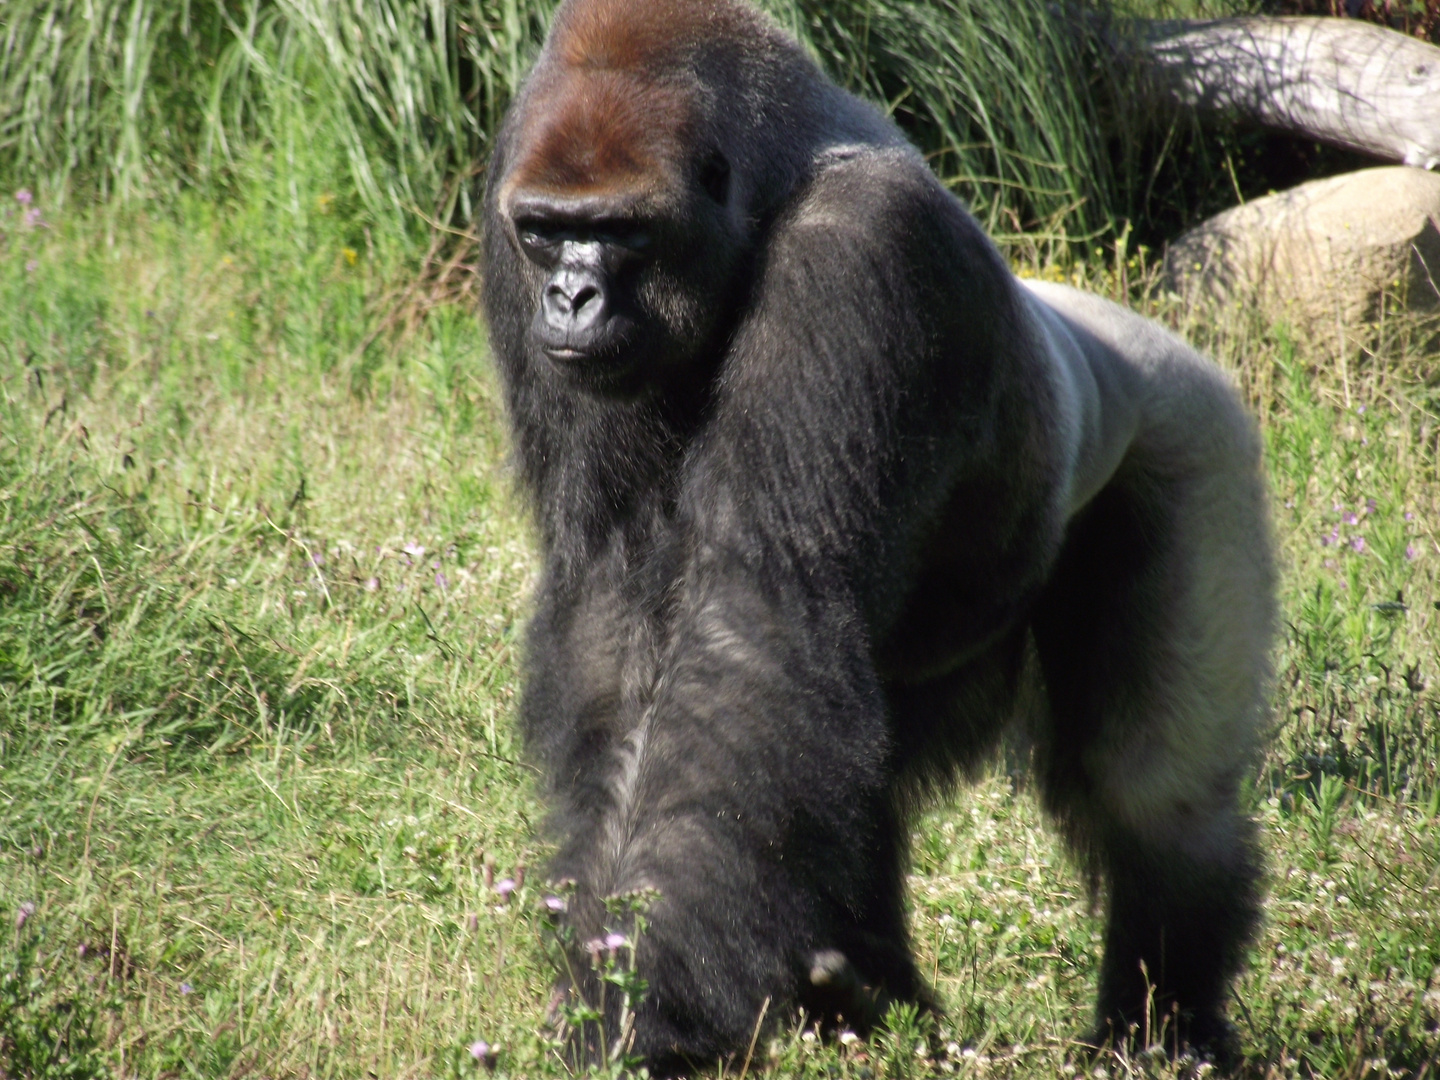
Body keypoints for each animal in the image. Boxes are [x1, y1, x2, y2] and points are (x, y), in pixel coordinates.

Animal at [480, 0, 1272, 1071]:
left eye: (623, 234)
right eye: (545, 230)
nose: (571, 298)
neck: (772, 186)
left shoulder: (859, 251)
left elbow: (751, 621)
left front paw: (645, 1005)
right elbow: (618, 623)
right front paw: (614, 972)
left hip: (1195, 428)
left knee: (1155, 787)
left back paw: (1164, 1029)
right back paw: (862, 993)